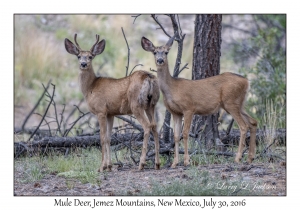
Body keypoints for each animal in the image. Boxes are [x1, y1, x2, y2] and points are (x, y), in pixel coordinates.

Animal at [64, 34, 161, 172]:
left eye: (90, 56)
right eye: (78, 56)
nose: (83, 64)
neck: (90, 88)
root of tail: (149, 77)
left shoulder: (101, 111)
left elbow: (102, 138)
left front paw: (101, 167)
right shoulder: (111, 113)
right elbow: (109, 138)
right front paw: (109, 166)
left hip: (136, 105)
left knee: (147, 126)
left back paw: (141, 164)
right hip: (151, 104)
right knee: (155, 126)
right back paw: (157, 164)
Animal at [141, 35, 258, 167]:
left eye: (166, 52)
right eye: (155, 52)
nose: (160, 60)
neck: (172, 88)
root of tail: (247, 82)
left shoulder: (188, 108)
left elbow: (185, 133)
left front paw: (186, 161)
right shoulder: (176, 112)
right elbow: (176, 136)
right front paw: (175, 163)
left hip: (231, 102)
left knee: (243, 126)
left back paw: (238, 158)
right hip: (239, 104)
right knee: (253, 122)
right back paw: (250, 158)